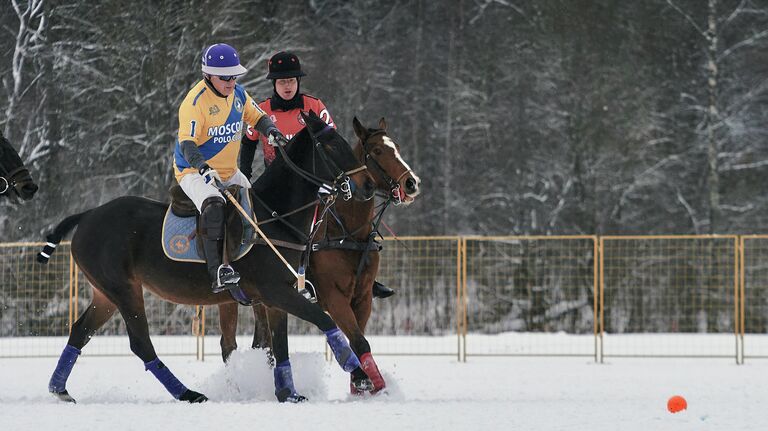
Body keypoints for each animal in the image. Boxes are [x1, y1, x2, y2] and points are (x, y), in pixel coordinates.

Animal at [37, 112, 380, 404]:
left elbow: (280, 345)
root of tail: (87, 215)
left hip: (105, 293)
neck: (276, 215)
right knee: (141, 343)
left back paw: (59, 389)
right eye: (330, 145)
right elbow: (324, 321)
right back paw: (187, 393)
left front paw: (288, 394)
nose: (368, 185)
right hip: (124, 289)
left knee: (80, 331)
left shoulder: (275, 298)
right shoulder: (275, 291)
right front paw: (361, 376)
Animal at [216, 117, 420, 394]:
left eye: (396, 147)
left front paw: (359, 386)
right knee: (229, 344)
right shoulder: (333, 297)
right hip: (230, 299)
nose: (412, 183)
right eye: (377, 151)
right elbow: (359, 341)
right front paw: (369, 384)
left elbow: (358, 338)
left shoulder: (363, 297)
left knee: (263, 342)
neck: (347, 233)